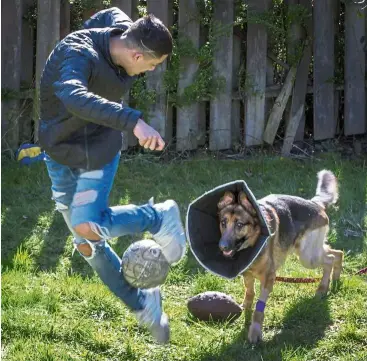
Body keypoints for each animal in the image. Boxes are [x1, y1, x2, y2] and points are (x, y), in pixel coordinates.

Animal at [217, 170, 344, 342]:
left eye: (239, 225)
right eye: (223, 223)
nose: (222, 247)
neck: (253, 243)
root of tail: (315, 203)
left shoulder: (268, 278)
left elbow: (259, 308)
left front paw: (255, 332)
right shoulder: (247, 274)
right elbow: (249, 293)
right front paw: (245, 309)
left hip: (308, 257)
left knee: (330, 259)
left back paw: (322, 288)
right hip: (308, 251)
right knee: (336, 253)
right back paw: (335, 278)